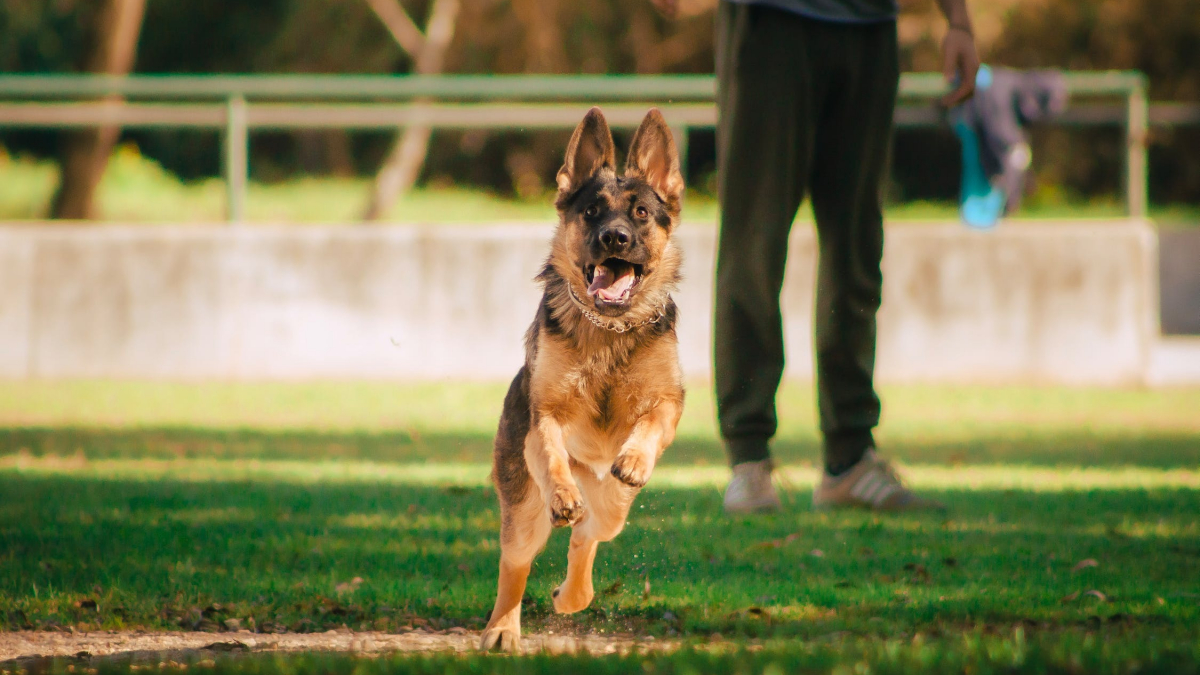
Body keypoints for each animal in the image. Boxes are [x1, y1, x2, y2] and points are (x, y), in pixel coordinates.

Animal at [477, 106, 686, 653]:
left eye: (640, 213)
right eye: (592, 211)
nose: (614, 238)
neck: (608, 328)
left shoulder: (668, 401)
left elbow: (651, 421)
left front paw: (633, 457)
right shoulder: (544, 418)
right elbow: (552, 452)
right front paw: (563, 492)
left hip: (612, 506)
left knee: (593, 529)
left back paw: (573, 594)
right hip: (522, 508)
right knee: (516, 563)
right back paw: (503, 628)